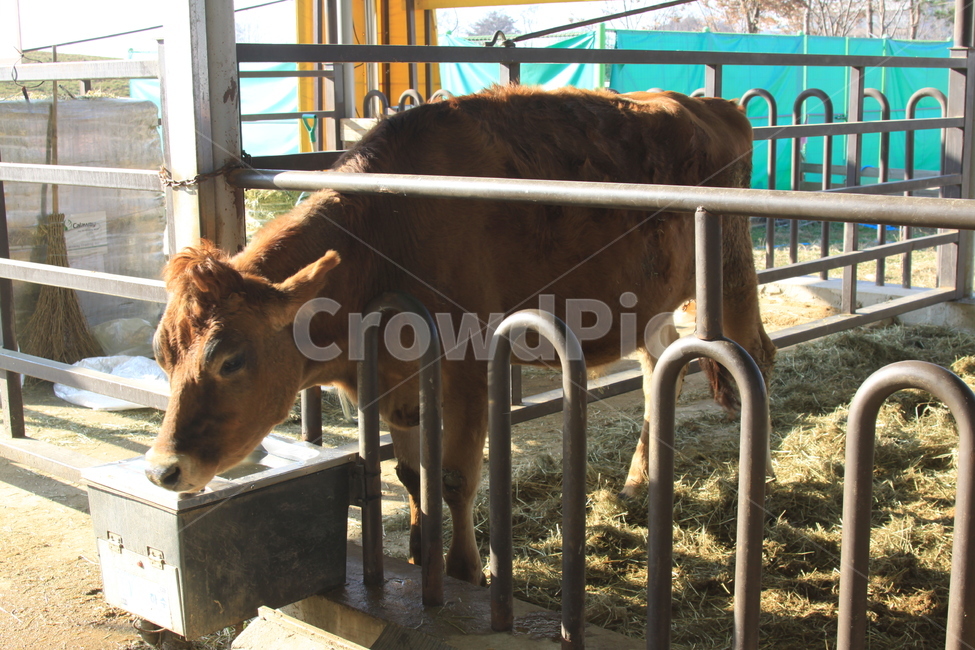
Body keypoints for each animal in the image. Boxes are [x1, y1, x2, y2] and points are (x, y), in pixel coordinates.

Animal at [146, 85, 776, 586]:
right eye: (161, 357)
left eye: (231, 360)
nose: (161, 470)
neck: (383, 238)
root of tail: (711, 104)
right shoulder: (393, 380)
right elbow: (409, 474)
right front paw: (418, 553)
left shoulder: (469, 365)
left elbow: (453, 477)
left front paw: (465, 570)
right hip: (648, 302)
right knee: (659, 367)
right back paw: (639, 482)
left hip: (731, 265)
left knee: (757, 356)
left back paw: (760, 481)